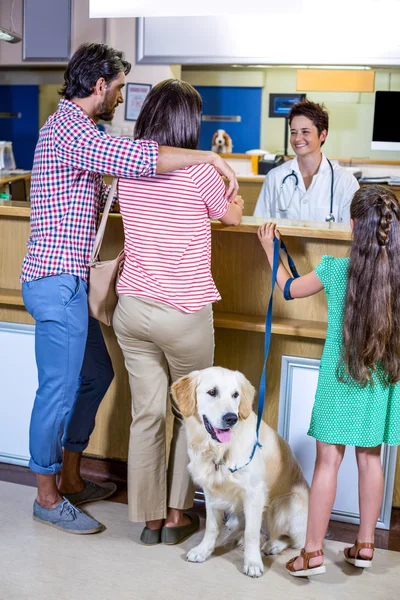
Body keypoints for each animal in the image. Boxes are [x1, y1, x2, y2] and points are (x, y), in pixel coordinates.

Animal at [170, 366, 308, 576]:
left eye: (235, 395)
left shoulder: (254, 493)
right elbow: (211, 527)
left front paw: (253, 563)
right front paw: (204, 550)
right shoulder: (211, 492)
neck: (220, 450)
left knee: (293, 540)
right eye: (212, 392)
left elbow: (251, 533)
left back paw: (272, 545)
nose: (231, 418)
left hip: (283, 504)